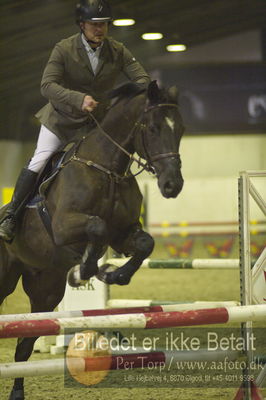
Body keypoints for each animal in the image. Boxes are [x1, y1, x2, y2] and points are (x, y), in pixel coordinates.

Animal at [0, 79, 183, 398]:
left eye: (181, 128)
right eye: (152, 128)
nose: (173, 184)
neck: (107, 168)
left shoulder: (124, 233)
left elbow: (144, 244)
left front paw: (114, 275)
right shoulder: (63, 226)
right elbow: (97, 228)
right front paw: (84, 269)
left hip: (45, 290)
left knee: (24, 345)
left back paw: (17, 392)